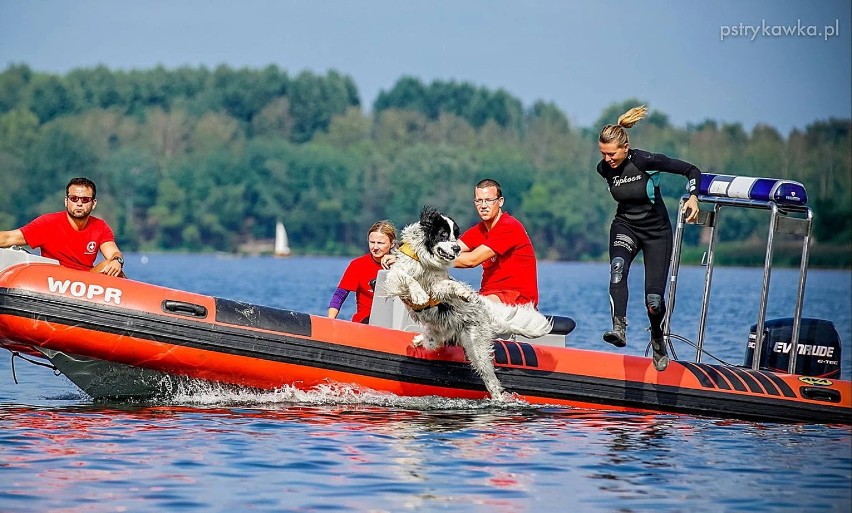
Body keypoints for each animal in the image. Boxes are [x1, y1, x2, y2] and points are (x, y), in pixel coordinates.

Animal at [384, 206, 556, 398]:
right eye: (444, 234)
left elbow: (450, 284)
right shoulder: (395, 277)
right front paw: (420, 295)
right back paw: (420, 339)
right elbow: (408, 278)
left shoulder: (436, 284)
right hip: (442, 335)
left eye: (456, 234)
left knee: (492, 382)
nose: (457, 248)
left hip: (477, 348)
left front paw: (465, 293)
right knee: (434, 341)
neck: (425, 258)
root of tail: (487, 314)